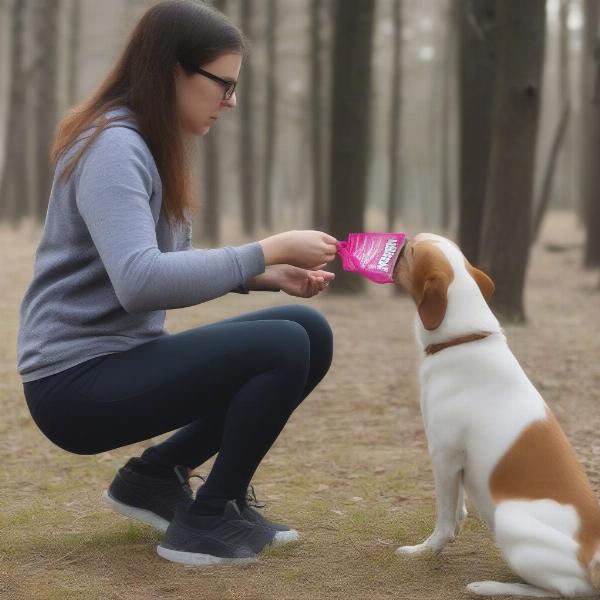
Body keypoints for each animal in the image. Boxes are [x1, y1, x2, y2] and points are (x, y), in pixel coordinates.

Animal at [394, 233, 600, 596]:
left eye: (413, 251)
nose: (402, 239)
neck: (462, 341)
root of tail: (593, 554)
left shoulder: (444, 455)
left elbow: (443, 520)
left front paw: (424, 550)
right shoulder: (457, 462)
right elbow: (458, 511)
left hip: (509, 519)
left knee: (563, 590)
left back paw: (488, 586)